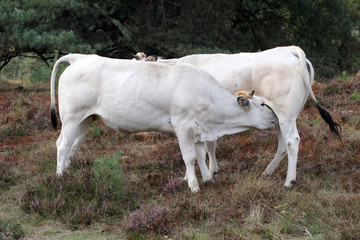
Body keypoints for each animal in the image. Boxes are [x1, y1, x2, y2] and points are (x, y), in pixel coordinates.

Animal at [50, 53, 276, 192]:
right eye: (263, 104)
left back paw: (67, 171)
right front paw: (194, 185)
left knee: (73, 145)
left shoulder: (198, 129)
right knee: (62, 144)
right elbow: (189, 157)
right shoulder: (183, 127)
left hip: (86, 119)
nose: (275, 118)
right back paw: (60, 177)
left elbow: (201, 155)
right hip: (71, 118)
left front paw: (208, 179)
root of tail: (79, 58)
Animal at [158, 45, 340, 188]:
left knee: (292, 141)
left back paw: (289, 181)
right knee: (283, 143)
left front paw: (190, 176)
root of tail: (291, 49)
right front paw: (212, 170)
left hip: (286, 114)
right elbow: (210, 146)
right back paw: (267, 171)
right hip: (283, 116)